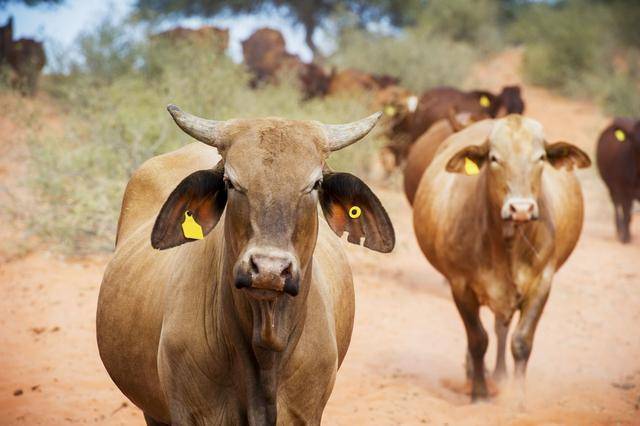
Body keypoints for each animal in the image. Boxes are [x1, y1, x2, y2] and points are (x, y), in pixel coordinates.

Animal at [416, 115, 592, 400]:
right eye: (494, 158)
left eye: (541, 157)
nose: (521, 209)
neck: (507, 244)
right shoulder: (460, 286)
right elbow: (478, 340)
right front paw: (479, 393)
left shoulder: (542, 283)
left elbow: (521, 342)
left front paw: (518, 398)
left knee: (501, 327)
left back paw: (499, 375)